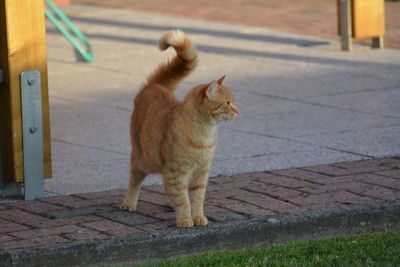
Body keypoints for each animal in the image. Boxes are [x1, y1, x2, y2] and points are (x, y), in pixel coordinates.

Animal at [119, 30, 238, 229]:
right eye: (227, 103)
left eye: (233, 102)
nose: (238, 111)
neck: (205, 134)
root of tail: (155, 86)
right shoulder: (176, 173)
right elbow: (183, 200)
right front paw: (184, 219)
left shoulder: (201, 173)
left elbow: (197, 199)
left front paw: (198, 217)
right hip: (142, 159)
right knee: (135, 181)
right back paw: (129, 203)